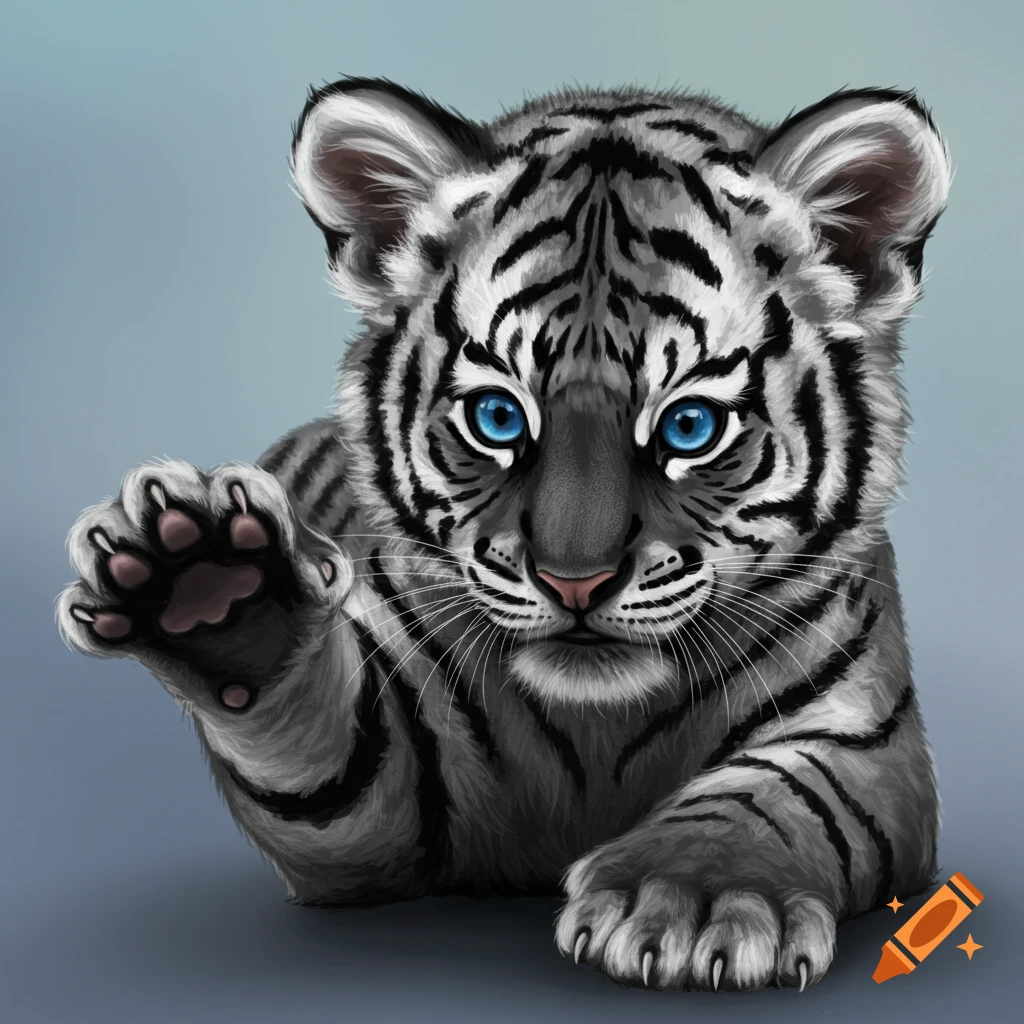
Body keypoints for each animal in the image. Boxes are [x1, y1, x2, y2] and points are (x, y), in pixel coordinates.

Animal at [57, 77, 950, 993]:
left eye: (690, 426)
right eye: (496, 416)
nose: (575, 580)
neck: (600, 733)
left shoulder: (860, 740)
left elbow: (775, 796)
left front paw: (687, 900)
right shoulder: (390, 789)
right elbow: (324, 752)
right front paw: (213, 592)